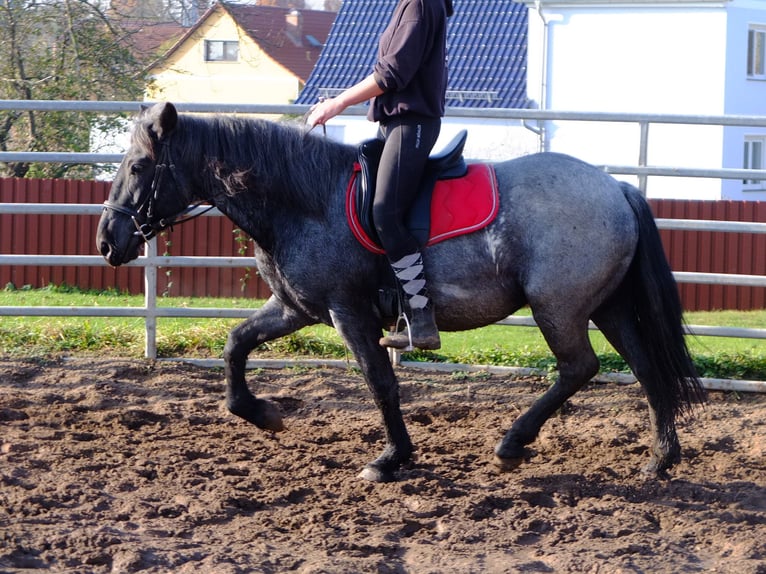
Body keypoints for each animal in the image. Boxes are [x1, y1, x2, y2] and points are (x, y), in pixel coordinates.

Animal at [97, 101, 708, 484]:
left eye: (141, 165)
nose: (107, 240)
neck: (306, 200)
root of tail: (617, 187)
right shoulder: (295, 308)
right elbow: (235, 344)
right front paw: (259, 413)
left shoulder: (348, 313)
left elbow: (380, 383)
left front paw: (391, 458)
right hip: (606, 307)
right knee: (645, 368)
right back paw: (659, 460)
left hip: (557, 308)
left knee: (580, 367)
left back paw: (513, 444)